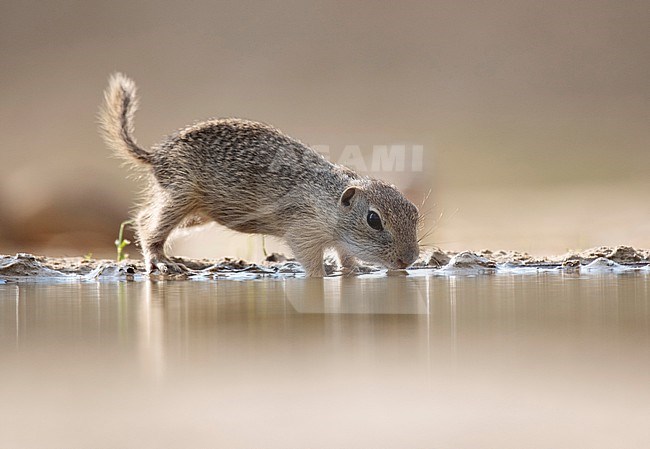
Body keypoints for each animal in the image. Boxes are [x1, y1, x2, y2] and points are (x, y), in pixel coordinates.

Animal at [98, 74, 418, 272]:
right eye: (374, 220)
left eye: (415, 214)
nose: (409, 260)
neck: (329, 198)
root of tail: (155, 155)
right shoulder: (303, 233)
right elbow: (314, 267)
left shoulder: (339, 242)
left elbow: (346, 259)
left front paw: (355, 270)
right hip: (181, 196)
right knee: (148, 222)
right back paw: (160, 260)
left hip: (200, 213)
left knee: (145, 216)